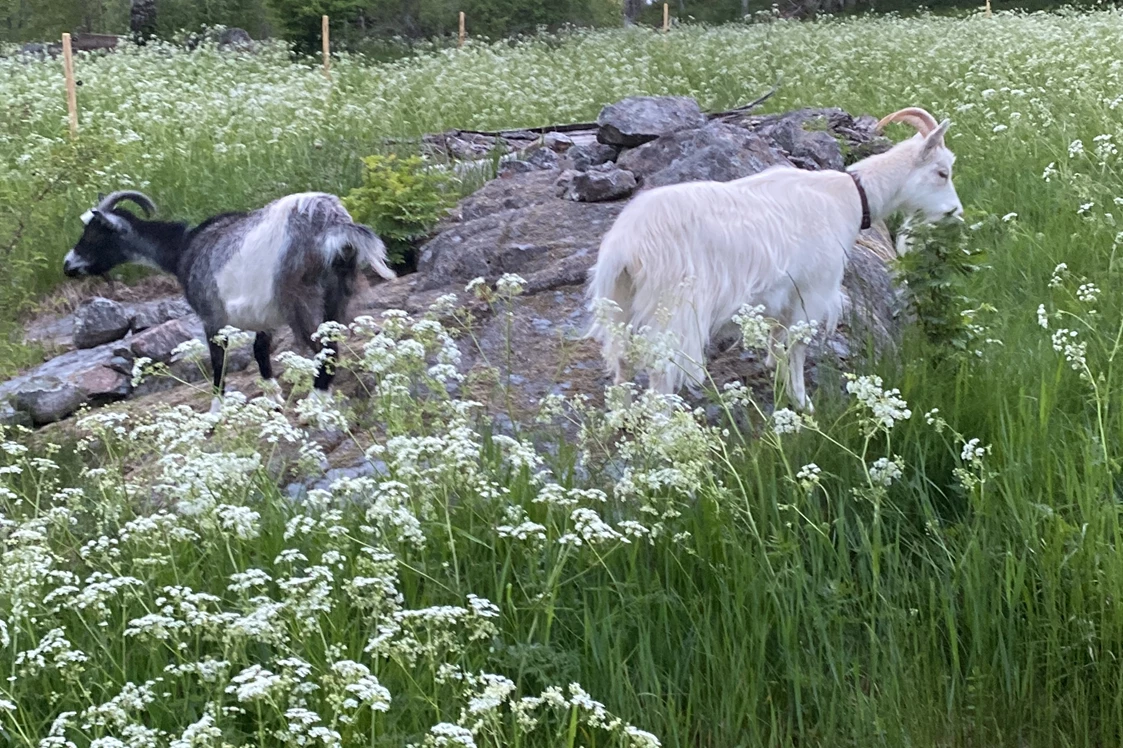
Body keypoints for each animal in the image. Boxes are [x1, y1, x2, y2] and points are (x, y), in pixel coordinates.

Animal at [62, 189, 395, 404]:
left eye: (94, 234)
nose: (68, 265)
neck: (184, 250)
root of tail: (332, 222)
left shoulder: (212, 316)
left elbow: (218, 364)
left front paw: (215, 411)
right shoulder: (263, 316)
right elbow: (260, 351)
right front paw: (272, 398)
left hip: (300, 298)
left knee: (325, 350)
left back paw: (316, 402)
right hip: (337, 293)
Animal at [583, 106, 961, 408]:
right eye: (942, 172)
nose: (954, 213)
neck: (850, 197)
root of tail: (625, 245)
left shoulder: (785, 293)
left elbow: (779, 339)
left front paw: (774, 371)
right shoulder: (814, 289)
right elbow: (797, 345)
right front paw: (802, 401)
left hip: (622, 302)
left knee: (623, 359)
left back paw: (622, 417)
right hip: (673, 307)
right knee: (660, 370)